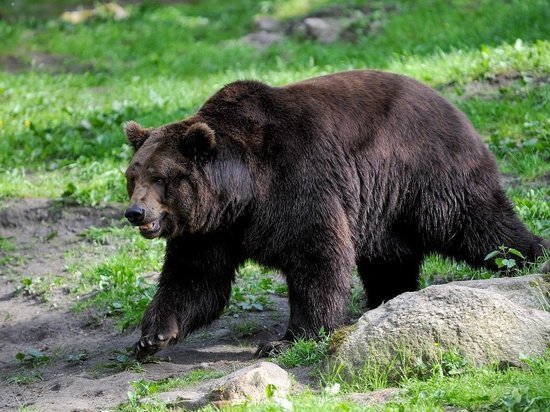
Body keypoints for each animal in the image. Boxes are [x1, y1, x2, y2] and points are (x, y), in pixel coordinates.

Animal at [125, 70, 548, 358]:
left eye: (160, 176)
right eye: (132, 175)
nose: (135, 212)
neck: (241, 193)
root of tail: (453, 106)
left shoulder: (297, 183)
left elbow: (317, 257)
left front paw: (287, 339)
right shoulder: (210, 230)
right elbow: (195, 279)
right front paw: (152, 335)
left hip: (428, 175)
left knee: (479, 226)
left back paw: (531, 257)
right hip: (383, 208)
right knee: (389, 258)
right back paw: (386, 299)